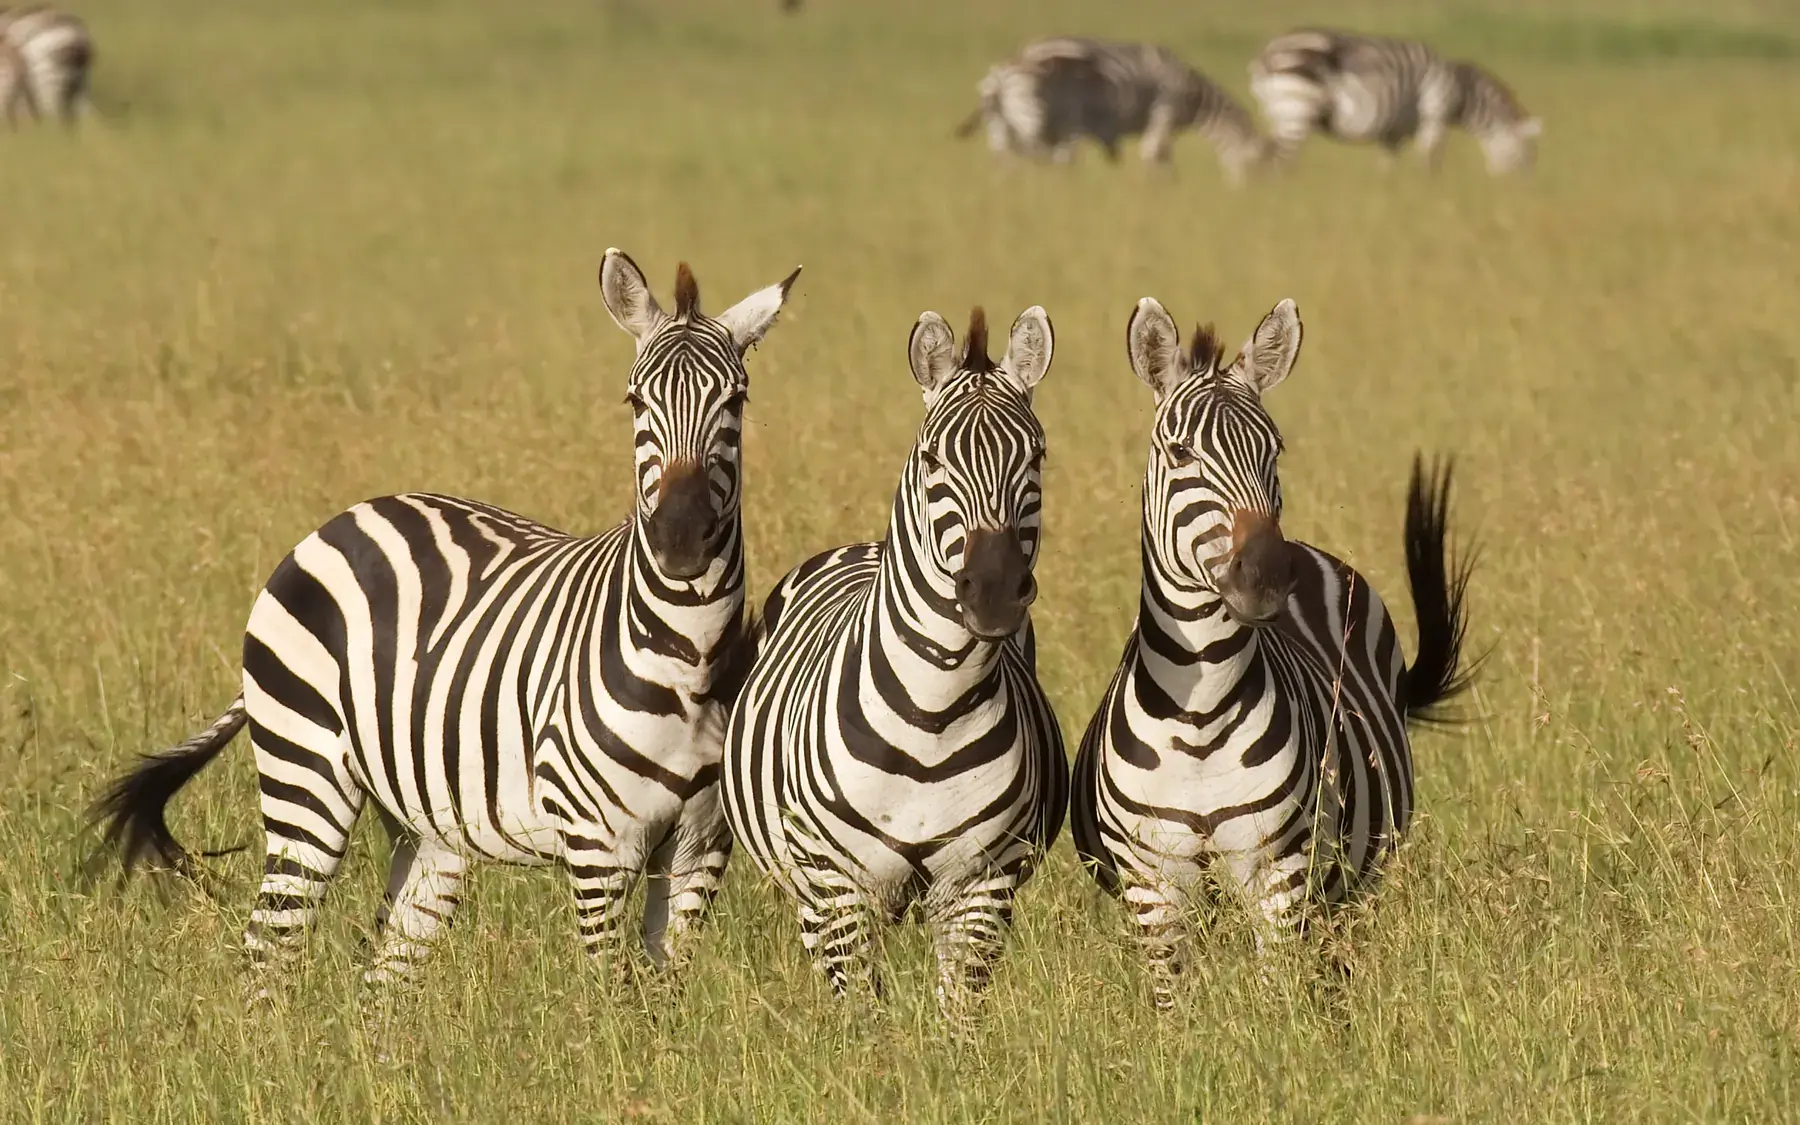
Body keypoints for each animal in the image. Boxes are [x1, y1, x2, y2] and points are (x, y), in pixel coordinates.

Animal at [86, 250, 801, 999]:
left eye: (737, 401)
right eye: (635, 401)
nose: (681, 541)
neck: (687, 658)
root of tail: (342, 519)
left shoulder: (699, 849)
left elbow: (663, 995)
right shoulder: (598, 846)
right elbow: (609, 996)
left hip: (428, 827)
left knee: (383, 977)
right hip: (305, 777)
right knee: (268, 950)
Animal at [722, 306, 1067, 1025]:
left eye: (1037, 456)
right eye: (933, 459)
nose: (993, 591)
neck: (932, 712)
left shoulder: (980, 885)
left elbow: (956, 1021)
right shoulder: (839, 889)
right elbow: (865, 1024)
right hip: (808, 885)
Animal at [955, 37, 1270, 183]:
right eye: (1256, 167)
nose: (1249, 200)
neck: (1196, 98)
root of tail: (999, 75)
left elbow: (1152, 159)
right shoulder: (1164, 112)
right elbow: (1155, 156)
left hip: (1003, 127)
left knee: (1006, 164)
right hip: (1033, 123)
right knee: (1038, 160)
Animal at [1070, 297, 1477, 1009]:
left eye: (1274, 450)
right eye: (1179, 451)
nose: (1265, 576)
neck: (1199, 716)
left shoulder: (1278, 874)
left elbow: (1275, 1002)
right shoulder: (1155, 888)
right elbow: (1174, 1011)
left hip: (1352, 885)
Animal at [1250, 29, 1540, 175]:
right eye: (1527, 157)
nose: (1523, 190)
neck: (1461, 93)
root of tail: (1267, 53)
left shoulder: (1393, 131)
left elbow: (1388, 166)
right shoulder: (1434, 116)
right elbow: (1429, 160)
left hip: (1280, 112)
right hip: (1296, 110)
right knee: (1281, 162)